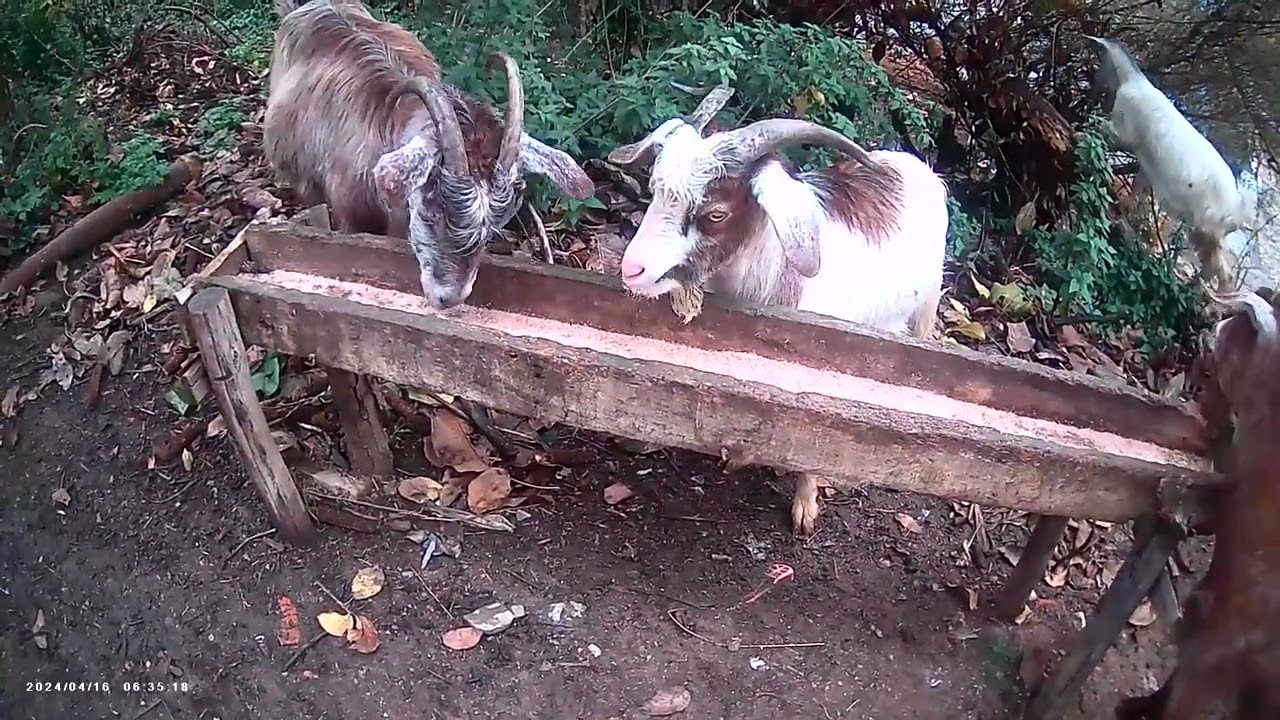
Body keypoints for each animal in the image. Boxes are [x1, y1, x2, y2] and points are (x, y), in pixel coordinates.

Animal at [607, 87, 948, 536]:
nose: (633, 269)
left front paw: (805, 508)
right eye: (654, 191)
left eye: (716, 213)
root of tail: (910, 165)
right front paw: (741, 455)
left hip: (928, 301)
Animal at [1085, 35, 1255, 292]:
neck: (1131, 80)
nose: (1094, 84)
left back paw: (1200, 293)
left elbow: (1104, 134)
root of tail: (1238, 211)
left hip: (1206, 229)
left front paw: (1081, 132)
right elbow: (1137, 188)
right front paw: (1124, 208)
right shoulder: (1145, 161)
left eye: (1098, 60)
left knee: (1220, 271)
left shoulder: (1125, 132)